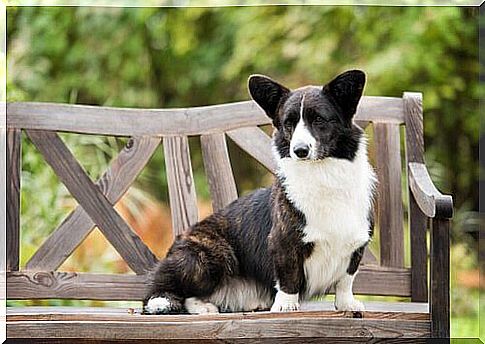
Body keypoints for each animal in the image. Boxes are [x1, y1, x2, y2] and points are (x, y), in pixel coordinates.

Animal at [142, 69, 376, 314]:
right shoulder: (283, 243)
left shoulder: (355, 246)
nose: (299, 150)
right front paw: (285, 306)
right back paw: (192, 305)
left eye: (319, 120)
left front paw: (347, 304)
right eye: (288, 123)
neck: (322, 174)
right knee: (165, 291)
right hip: (210, 255)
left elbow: (346, 280)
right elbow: (288, 277)